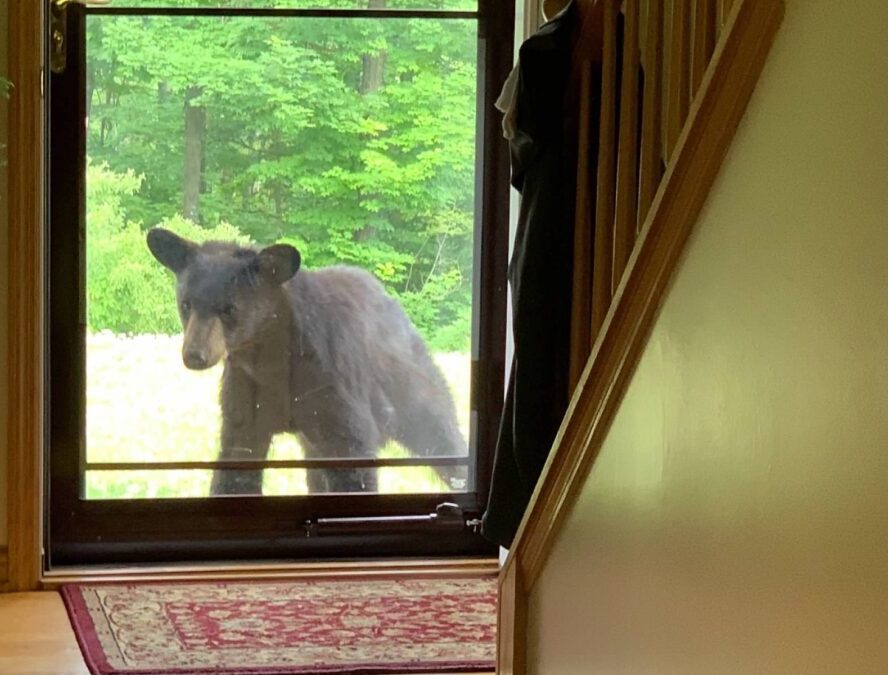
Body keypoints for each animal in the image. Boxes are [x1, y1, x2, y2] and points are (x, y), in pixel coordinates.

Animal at [146, 228, 468, 496]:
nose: (194, 355)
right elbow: (237, 458)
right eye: (186, 304)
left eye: (229, 309)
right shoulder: (244, 386)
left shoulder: (330, 382)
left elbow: (353, 453)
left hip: (409, 385)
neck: (271, 357)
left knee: (441, 433)